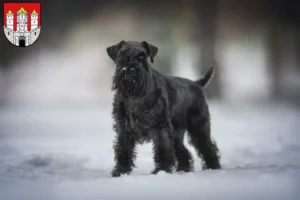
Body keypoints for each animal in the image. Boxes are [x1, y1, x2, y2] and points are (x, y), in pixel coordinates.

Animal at [105, 40, 220, 177]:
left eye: (142, 56)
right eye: (122, 55)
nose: (132, 69)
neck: (135, 96)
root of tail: (197, 84)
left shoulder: (160, 127)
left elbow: (162, 149)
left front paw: (161, 170)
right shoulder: (124, 128)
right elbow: (123, 150)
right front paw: (120, 171)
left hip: (198, 128)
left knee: (208, 148)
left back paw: (213, 168)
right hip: (177, 133)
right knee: (183, 151)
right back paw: (183, 170)